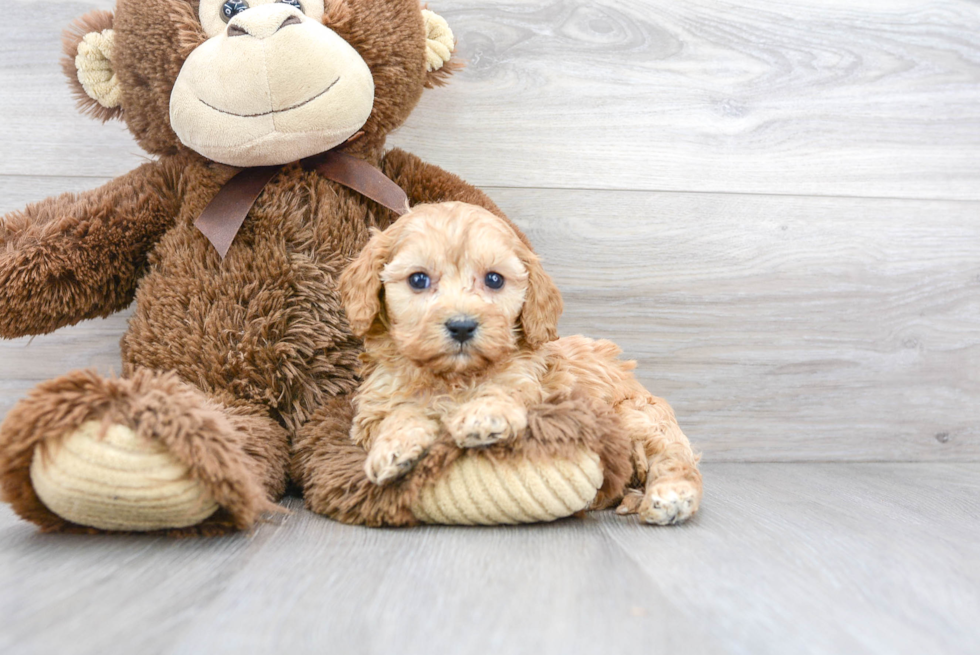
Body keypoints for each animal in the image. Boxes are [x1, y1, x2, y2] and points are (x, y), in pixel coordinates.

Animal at [340, 202, 700, 524]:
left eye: (494, 280)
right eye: (418, 280)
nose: (462, 326)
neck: (455, 376)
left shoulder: (535, 389)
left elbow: (503, 391)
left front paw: (484, 415)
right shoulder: (373, 410)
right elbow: (399, 413)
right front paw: (394, 448)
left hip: (636, 415)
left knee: (673, 457)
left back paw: (671, 495)